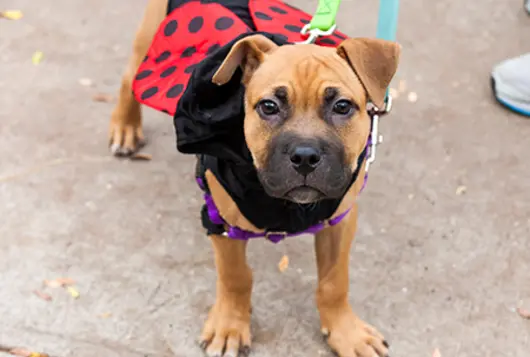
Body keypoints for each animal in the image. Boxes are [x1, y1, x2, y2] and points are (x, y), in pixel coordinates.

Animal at [106, 0, 396, 356]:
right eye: (269, 106)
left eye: (342, 106)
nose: (305, 156)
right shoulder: (221, 220)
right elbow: (236, 276)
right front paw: (230, 327)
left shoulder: (340, 218)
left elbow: (334, 281)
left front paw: (346, 333)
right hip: (149, 38)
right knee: (128, 77)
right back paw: (125, 127)